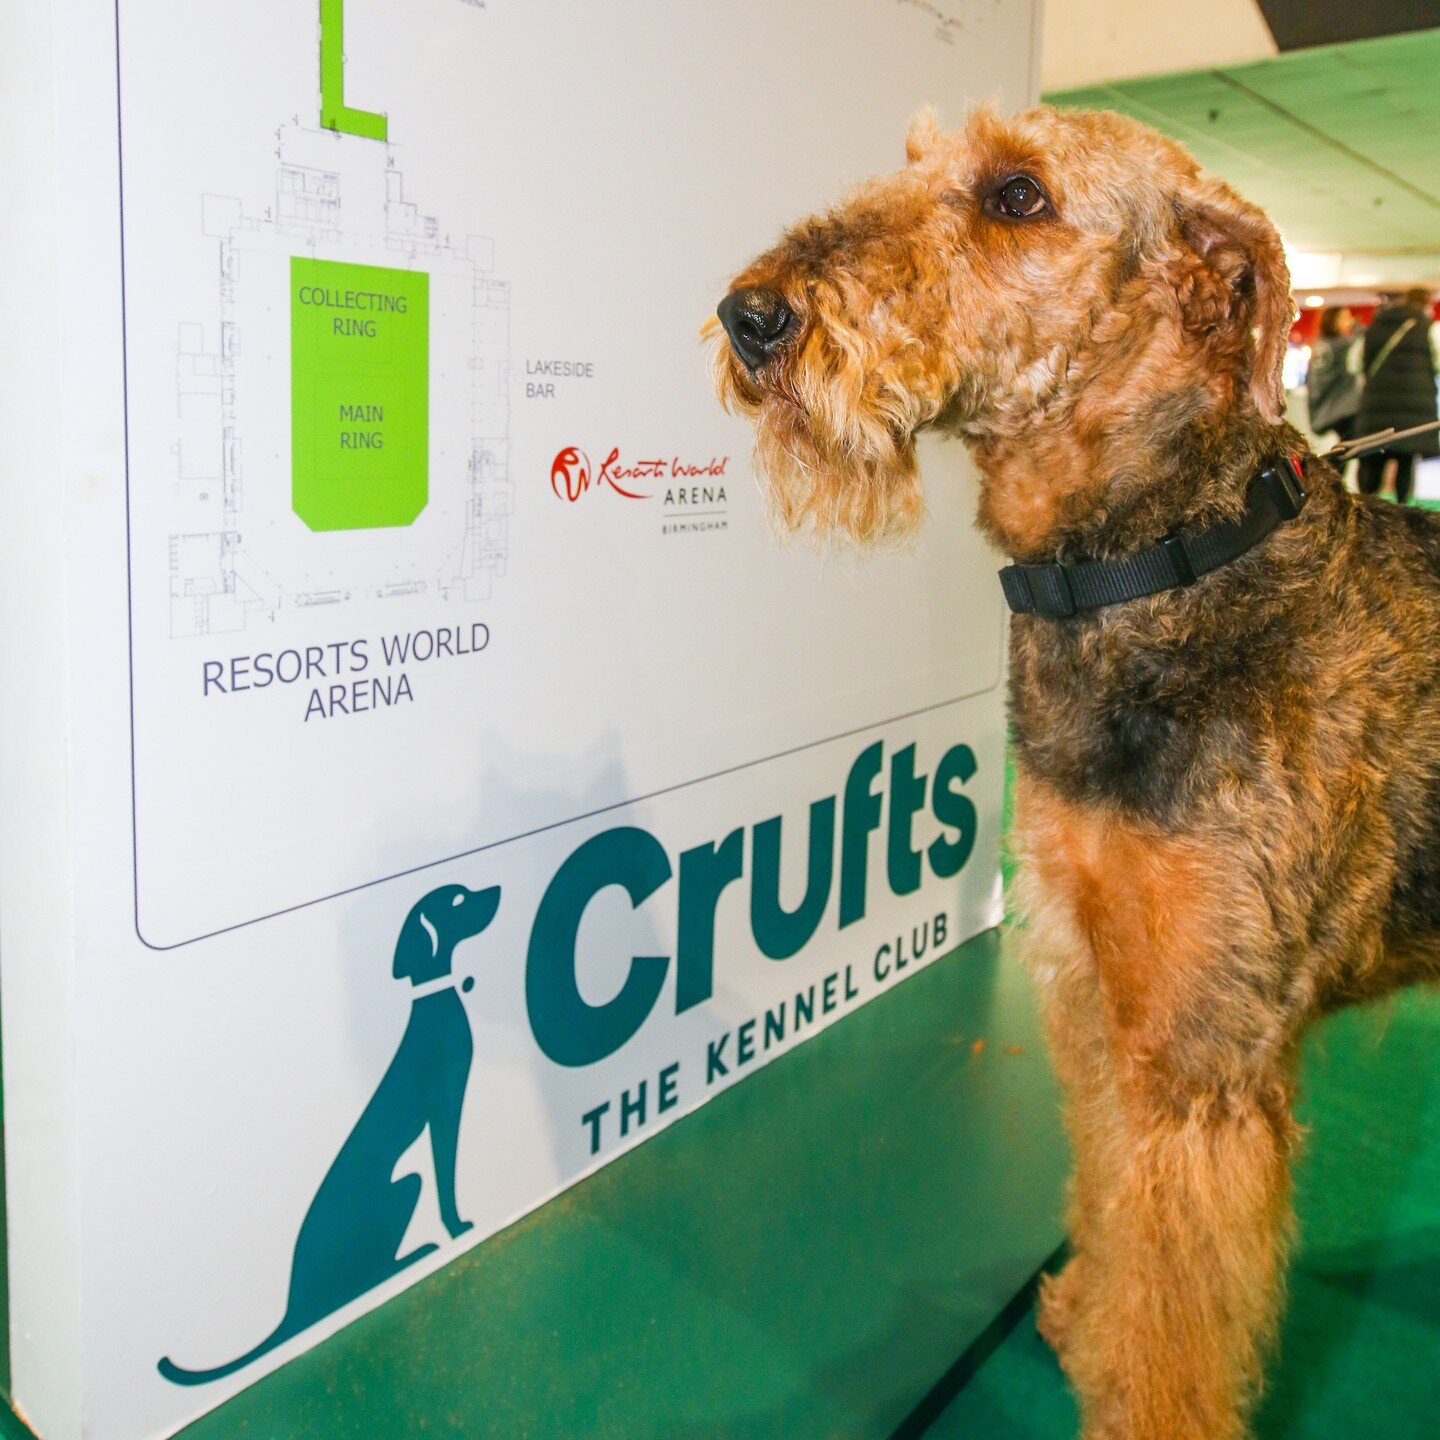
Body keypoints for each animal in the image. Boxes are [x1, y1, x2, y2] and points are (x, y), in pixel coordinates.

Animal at [714, 104, 1440, 1440]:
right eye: (909, 161)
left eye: (1018, 194)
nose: (753, 314)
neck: (1161, 554)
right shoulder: (1105, 1008)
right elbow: (1116, 1214)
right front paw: (1092, 1328)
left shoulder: (1200, 1071)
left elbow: (1180, 1328)